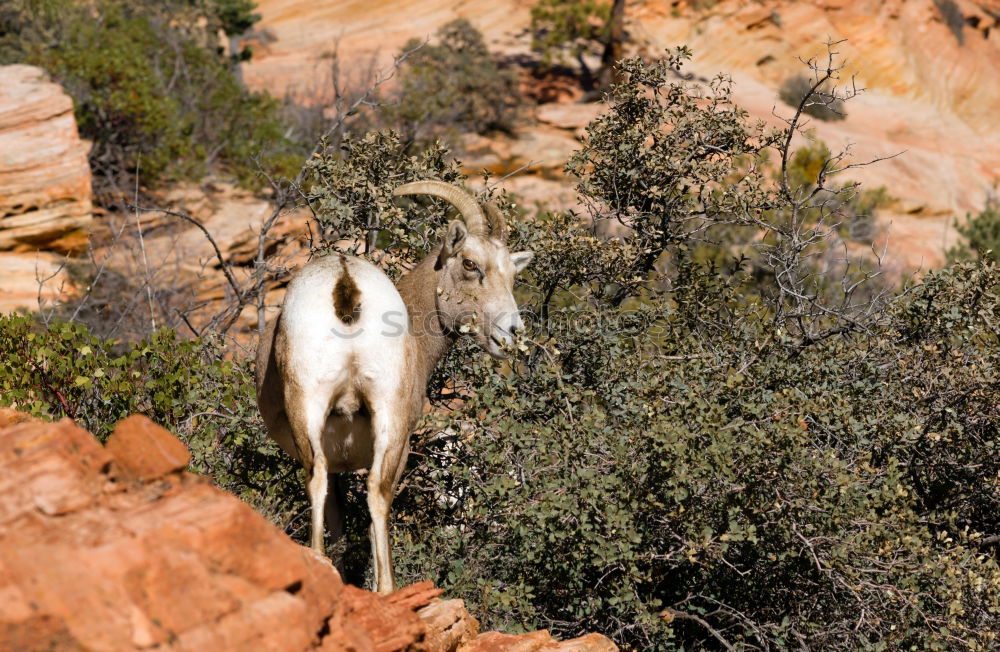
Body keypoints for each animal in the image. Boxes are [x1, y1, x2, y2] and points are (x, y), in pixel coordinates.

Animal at [256, 181, 532, 592]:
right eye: (470, 264)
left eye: (512, 275)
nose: (511, 334)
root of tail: (345, 282)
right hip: (388, 418)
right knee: (375, 490)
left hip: (321, 409)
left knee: (330, 481)